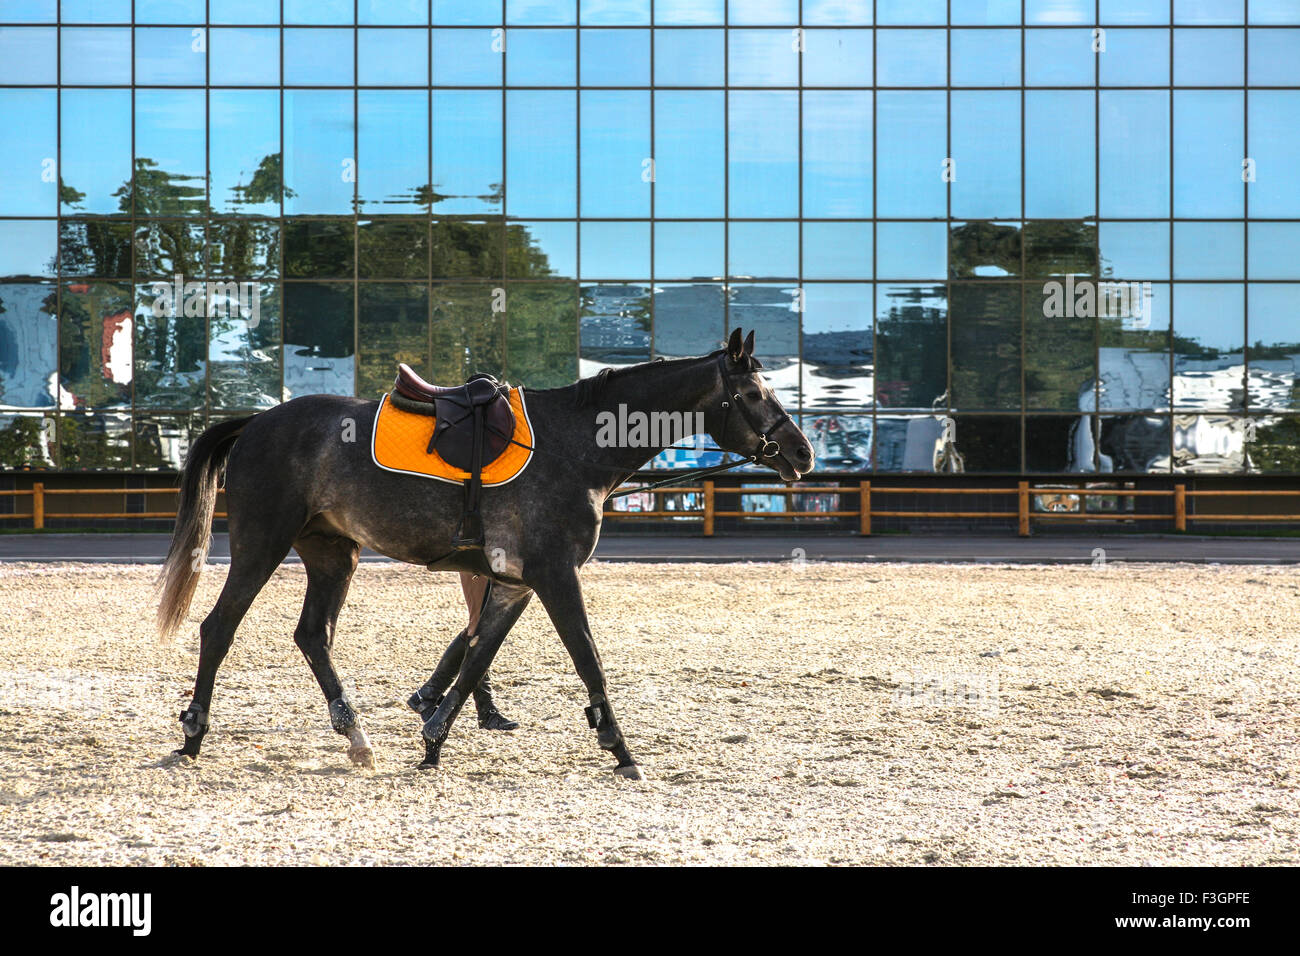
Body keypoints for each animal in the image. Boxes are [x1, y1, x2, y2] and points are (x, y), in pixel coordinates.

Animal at [157, 329, 811, 780]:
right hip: (261, 545)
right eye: (753, 392)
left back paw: (357, 737)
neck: (573, 445)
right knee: (219, 628)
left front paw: (433, 741)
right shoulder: (555, 576)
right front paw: (620, 748)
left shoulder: (515, 583)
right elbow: (587, 658)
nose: (802, 453)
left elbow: (476, 658)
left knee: (313, 636)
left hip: (332, 555)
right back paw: (193, 734)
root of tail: (256, 422)